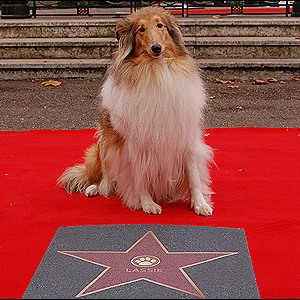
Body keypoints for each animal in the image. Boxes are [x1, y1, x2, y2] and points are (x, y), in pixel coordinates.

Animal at [58, 5, 213, 216]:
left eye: (160, 25)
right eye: (141, 29)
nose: (156, 48)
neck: (155, 71)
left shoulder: (184, 134)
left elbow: (194, 175)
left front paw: (200, 204)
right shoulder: (132, 144)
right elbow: (139, 177)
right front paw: (146, 203)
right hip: (104, 145)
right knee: (104, 180)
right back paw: (94, 188)